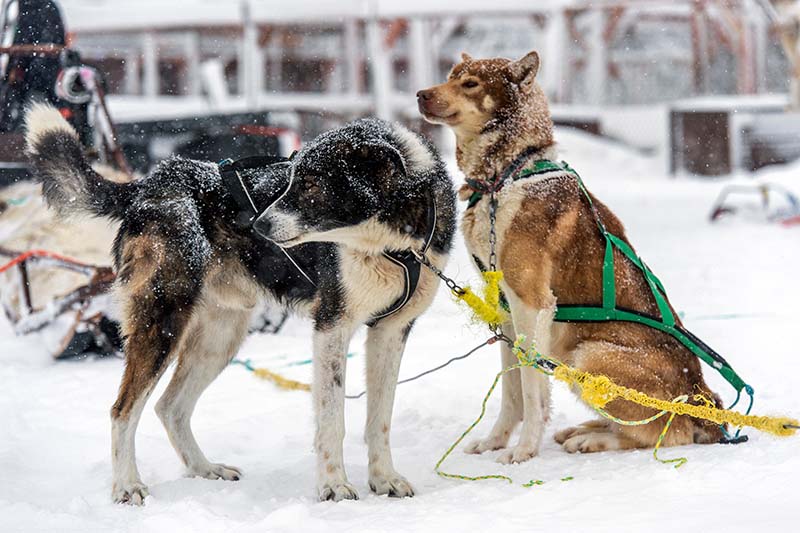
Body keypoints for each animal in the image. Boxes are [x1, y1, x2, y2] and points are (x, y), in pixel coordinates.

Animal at [26, 104, 456, 502]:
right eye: (291, 178)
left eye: (311, 183)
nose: (258, 225)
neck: (390, 245)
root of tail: (149, 183)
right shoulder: (332, 326)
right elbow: (333, 416)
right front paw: (333, 486)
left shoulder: (391, 331)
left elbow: (380, 417)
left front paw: (384, 479)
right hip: (163, 322)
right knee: (123, 409)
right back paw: (127, 486)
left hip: (220, 337)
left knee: (170, 406)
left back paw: (204, 469)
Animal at [418, 52, 724, 464]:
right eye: (449, 76)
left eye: (470, 84)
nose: (420, 94)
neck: (506, 177)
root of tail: (702, 398)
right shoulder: (506, 309)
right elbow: (512, 393)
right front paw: (496, 441)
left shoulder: (532, 305)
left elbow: (531, 392)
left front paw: (524, 450)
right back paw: (582, 430)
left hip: (589, 355)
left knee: (668, 433)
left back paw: (594, 441)